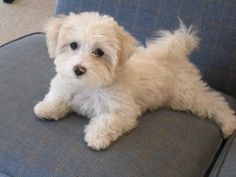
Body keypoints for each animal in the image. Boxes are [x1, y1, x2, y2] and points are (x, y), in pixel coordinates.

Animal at [34, 11, 236, 150]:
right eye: (73, 45)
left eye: (99, 52)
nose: (78, 69)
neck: (89, 85)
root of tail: (175, 53)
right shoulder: (65, 86)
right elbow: (57, 97)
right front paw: (46, 108)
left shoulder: (125, 111)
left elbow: (107, 121)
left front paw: (96, 137)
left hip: (187, 94)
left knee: (214, 102)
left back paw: (229, 123)